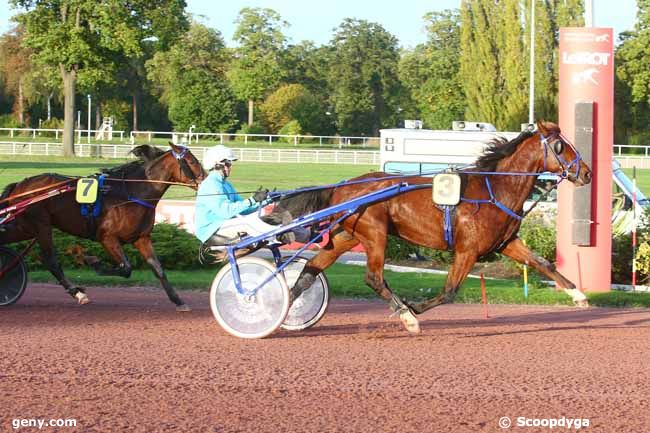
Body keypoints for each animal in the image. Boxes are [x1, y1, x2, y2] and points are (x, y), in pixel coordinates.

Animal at [0, 143, 205, 308]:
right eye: (192, 161)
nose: (205, 178)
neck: (132, 193)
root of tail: (20, 185)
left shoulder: (141, 238)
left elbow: (158, 268)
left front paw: (178, 301)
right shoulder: (106, 237)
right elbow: (126, 268)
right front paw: (93, 262)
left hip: (26, 227)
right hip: (41, 224)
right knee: (51, 261)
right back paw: (78, 293)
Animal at [268, 120, 592, 330]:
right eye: (560, 146)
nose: (587, 173)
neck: (494, 189)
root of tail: (342, 186)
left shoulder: (507, 244)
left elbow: (542, 263)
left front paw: (578, 295)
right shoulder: (467, 250)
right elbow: (449, 291)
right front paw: (413, 309)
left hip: (346, 235)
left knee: (311, 269)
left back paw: (280, 310)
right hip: (375, 234)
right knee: (373, 277)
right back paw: (406, 316)